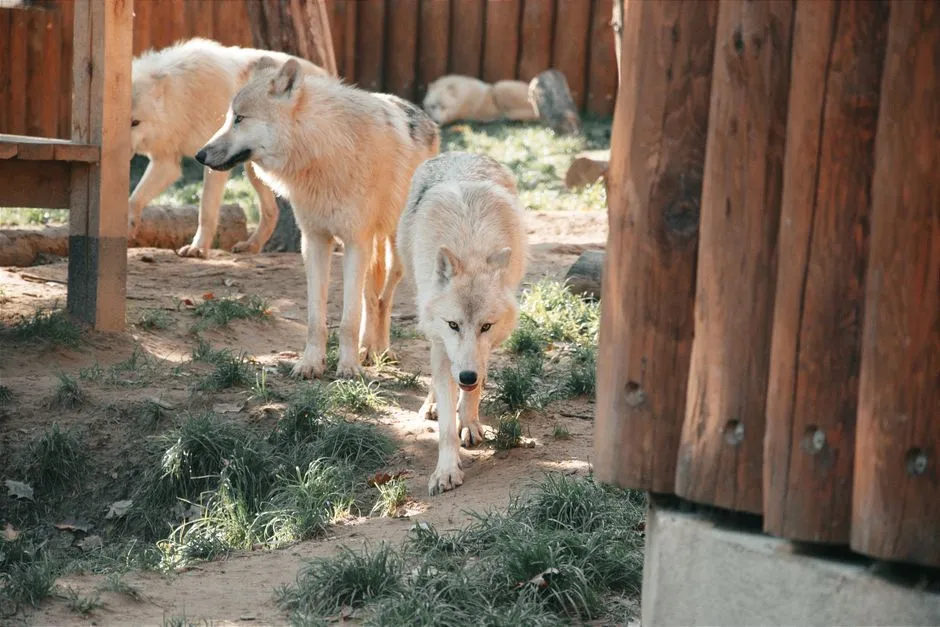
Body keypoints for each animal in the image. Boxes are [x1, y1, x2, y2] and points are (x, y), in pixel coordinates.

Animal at [129, 38, 326, 257]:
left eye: (135, 122)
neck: (183, 97)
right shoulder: (166, 162)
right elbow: (134, 199)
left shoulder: (212, 161)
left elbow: (206, 209)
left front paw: (198, 248)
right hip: (254, 170)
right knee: (271, 212)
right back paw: (251, 246)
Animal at [195, 57, 440, 378]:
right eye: (228, 118)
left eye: (239, 118)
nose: (199, 155)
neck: (323, 151)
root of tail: (426, 118)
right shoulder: (315, 242)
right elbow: (316, 318)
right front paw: (311, 363)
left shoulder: (354, 242)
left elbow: (348, 320)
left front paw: (347, 368)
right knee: (370, 298)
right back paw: (367, 349)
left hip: (395, 254)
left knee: (384, 300)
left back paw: (381, 350)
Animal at [397, 152, 528, 495]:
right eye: (453, 324)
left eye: (486, 326)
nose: (467, 376)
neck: (469, 244)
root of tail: (460, 153)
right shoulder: (443, 343)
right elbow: (445, 426)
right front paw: (445, 471)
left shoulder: (483, 349)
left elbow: (474, 390)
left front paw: (468, 423)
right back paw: (431, 404)